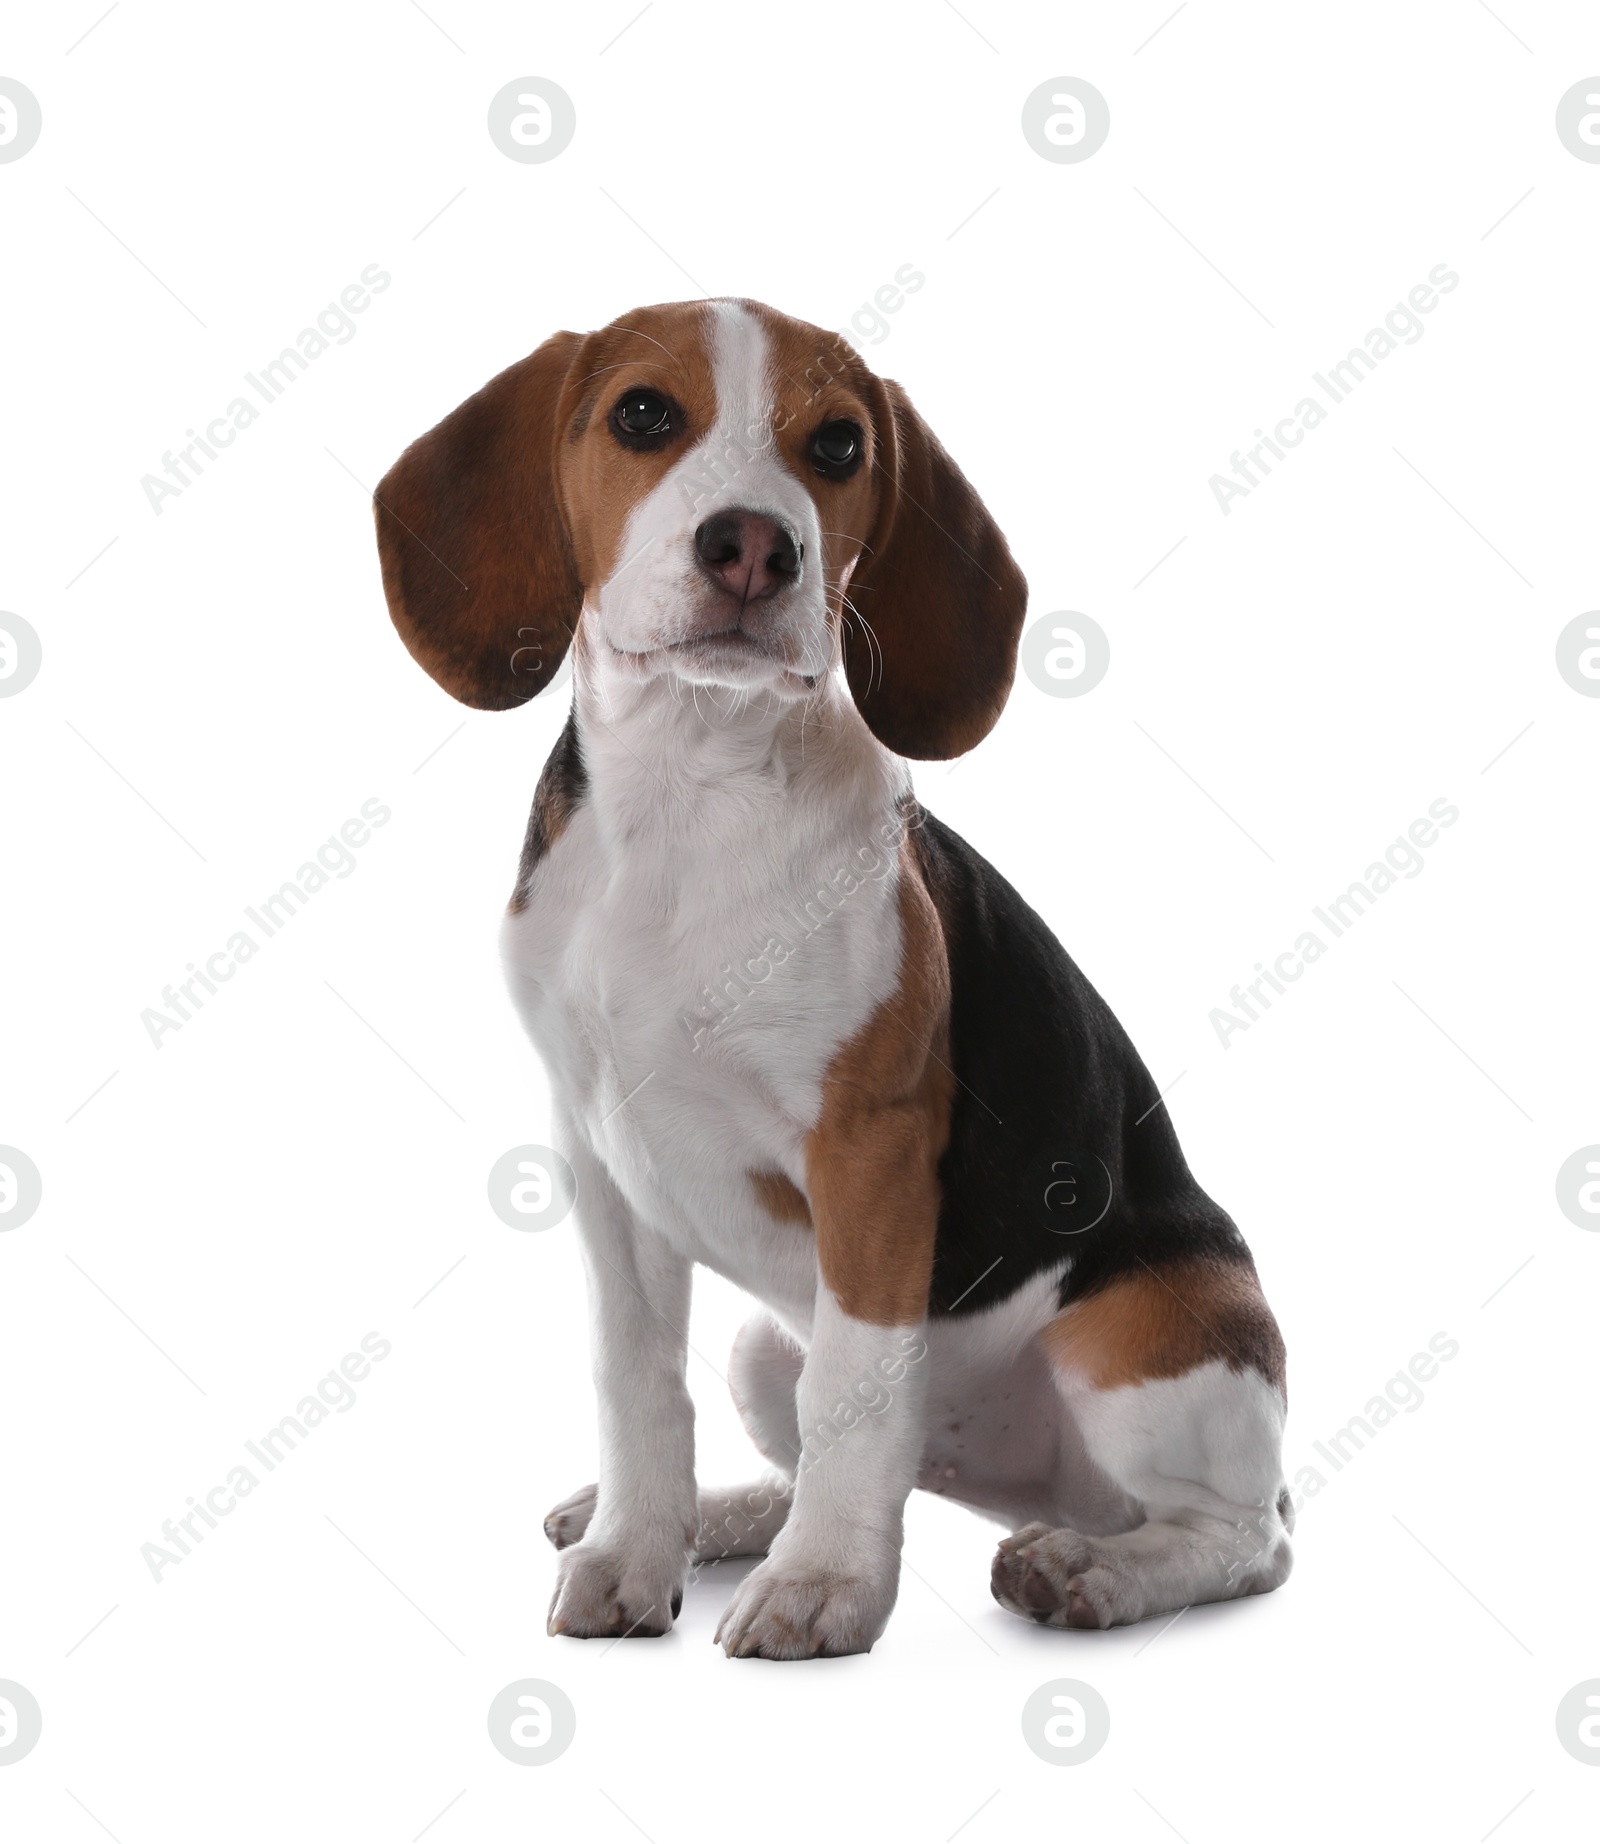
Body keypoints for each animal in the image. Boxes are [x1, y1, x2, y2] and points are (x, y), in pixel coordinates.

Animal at [372, 298, 1290, 1659]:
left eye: (841, 445)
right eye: (641, 412)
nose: (756, 546)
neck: (692, 788)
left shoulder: (871, 1150)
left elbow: (857, 1386)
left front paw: (823, 1585)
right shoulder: (599, 1155)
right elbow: (638, 1381)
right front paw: (636, 1546)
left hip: (1133, 1346)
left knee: (1243, 1535)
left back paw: (1089, 1569)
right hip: (766, 1341)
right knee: (816, 1436)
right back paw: (718, 1515)